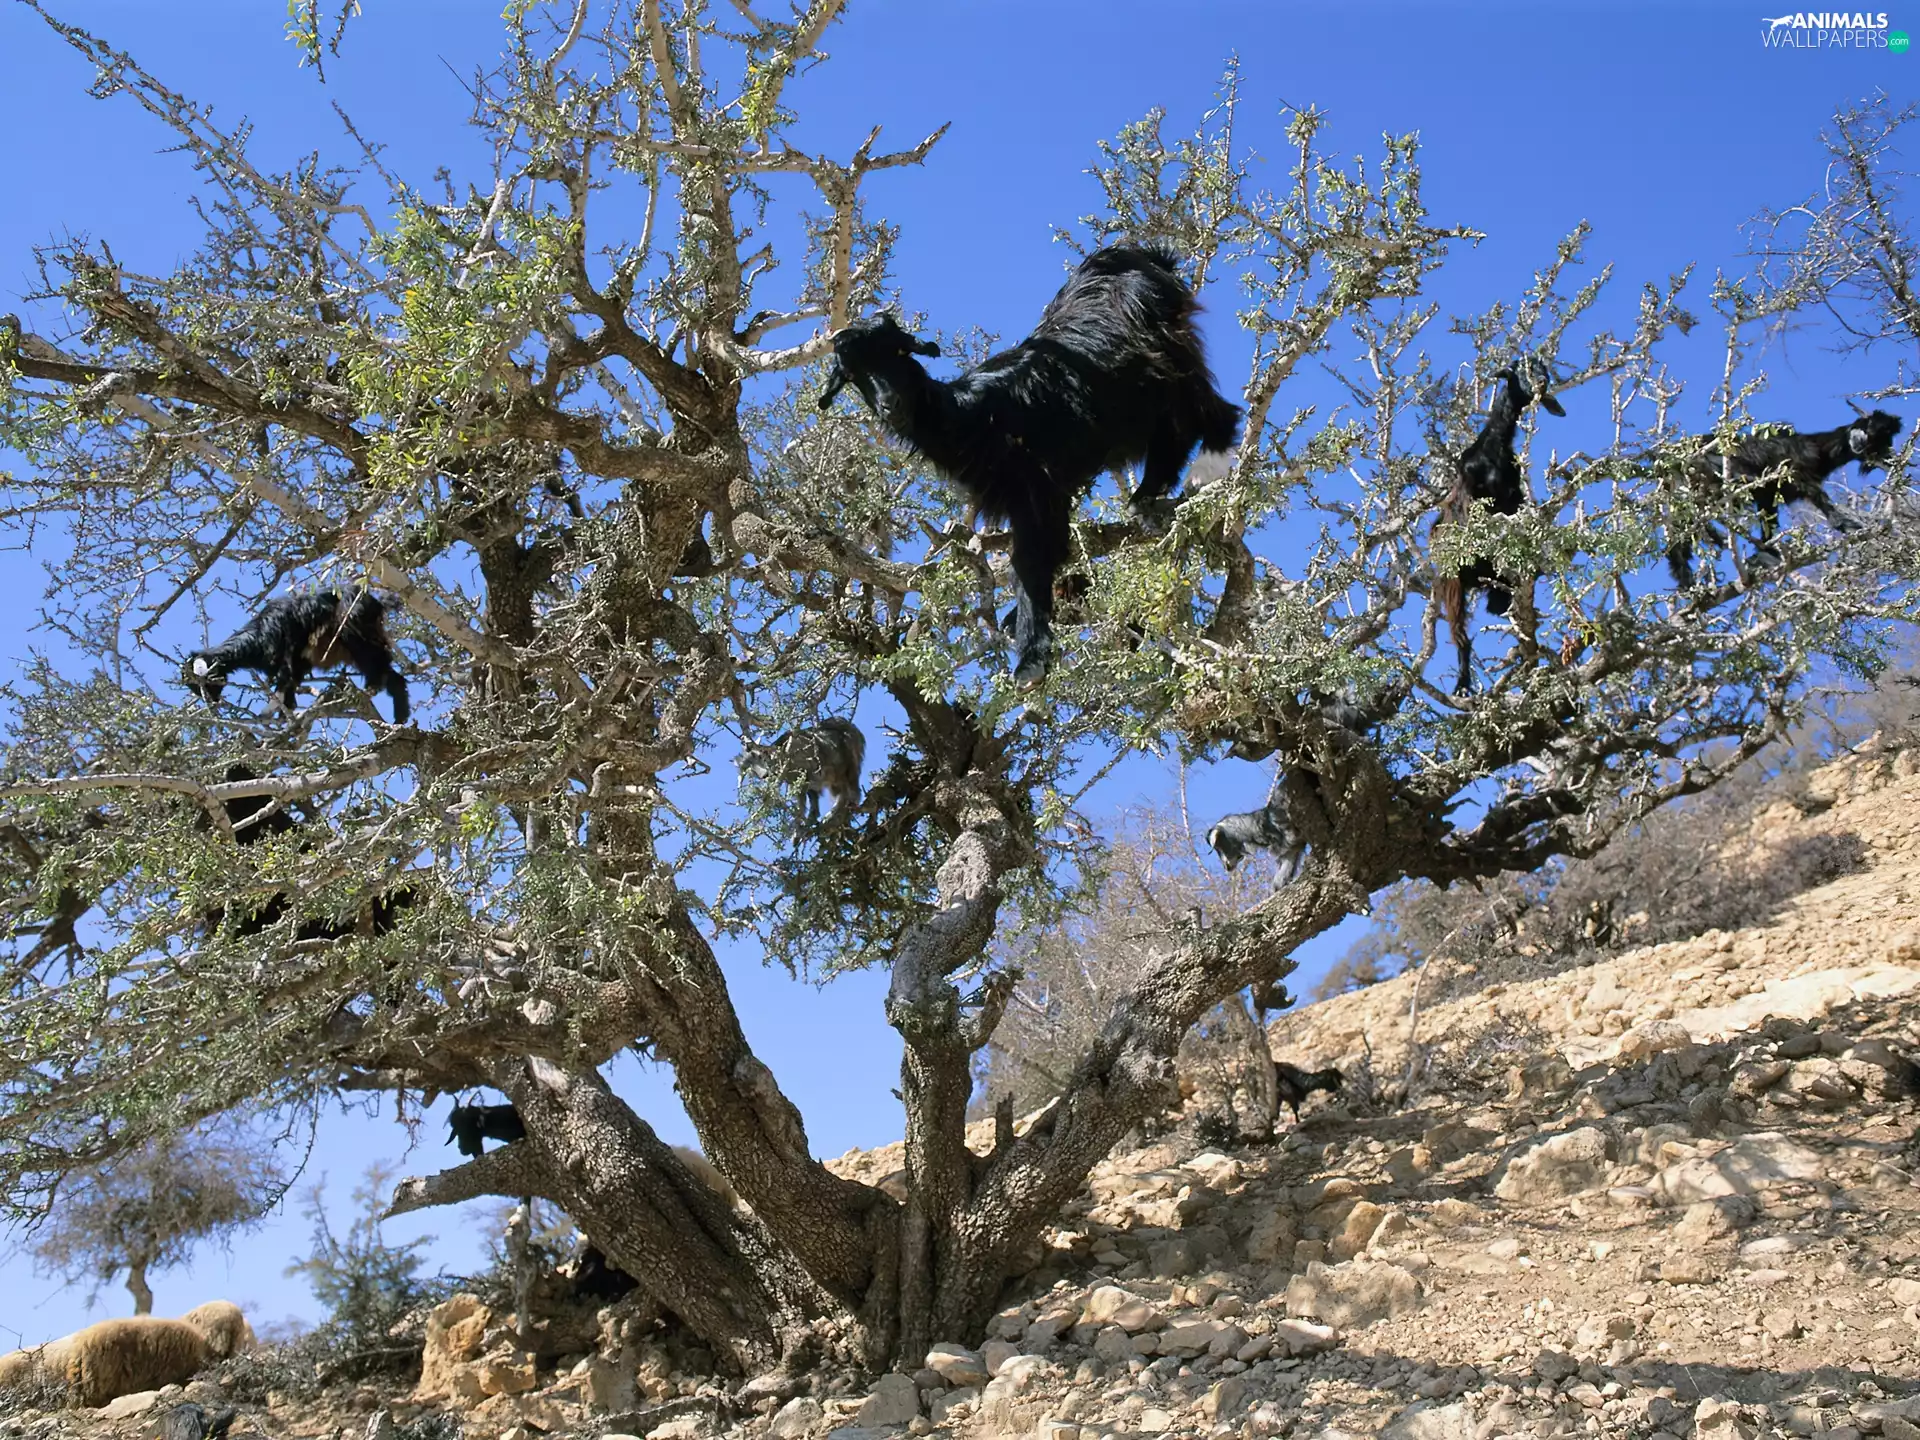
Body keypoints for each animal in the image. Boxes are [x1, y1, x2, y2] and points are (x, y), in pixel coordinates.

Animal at [184, 590, 409, 724]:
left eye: (205, 682)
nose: (212, 703)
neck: (256, 636)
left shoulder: (288, 654)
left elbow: (285, 683)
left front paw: (271, 712)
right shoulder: (298, 662)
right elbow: (289, 686)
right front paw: (285, 713)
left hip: (356, 635)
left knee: (377, 668)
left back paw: (372, 689)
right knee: (393, 675)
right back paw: (401, 717)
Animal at [819, 244, 1243, 684]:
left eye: (901, 351)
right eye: (853, 373)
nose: (892, 405)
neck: (973, 416)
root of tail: (1138, 255)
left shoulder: (1037, 487)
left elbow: (1031, 561)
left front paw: (1031, 660)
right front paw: (1021, 634)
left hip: (1165, 352)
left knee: (1206, 407)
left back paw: (1205, 470)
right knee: (1175, 428)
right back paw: (1146, 497)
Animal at [1431, 366, 1564, 695]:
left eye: (1542, 370)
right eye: (1519, 373)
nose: (1541, 383)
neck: (1493, 449)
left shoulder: (1514, 499)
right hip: (1452, 582)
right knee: (1460, 634)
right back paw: (1462, 684)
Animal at [1665, 409, 1902, 585]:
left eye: (1884, 444)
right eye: (1873, 432)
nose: (1888, 458)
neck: (1820, 448)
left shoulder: (1769, 497)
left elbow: (1769, 524)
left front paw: (1766, 555)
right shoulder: (1793, 473)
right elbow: (1820, 499)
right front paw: (1850, 526)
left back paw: (1686, 577)